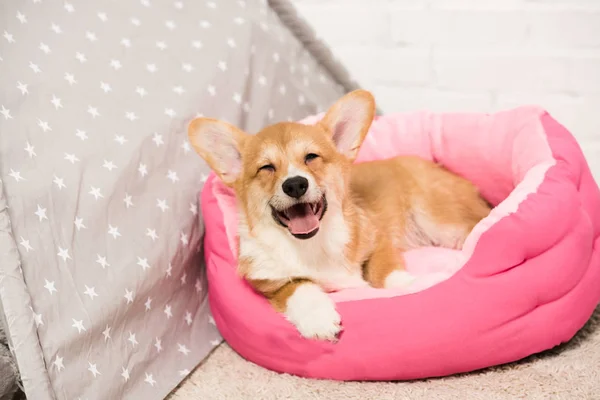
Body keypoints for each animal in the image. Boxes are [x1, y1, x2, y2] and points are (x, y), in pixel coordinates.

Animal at [189, 90, 492, 340]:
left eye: (311, 157)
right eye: (266, 168)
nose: (295, 184)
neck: (313, 244)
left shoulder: (380, 241)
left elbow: (384, 271)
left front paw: (406, 285)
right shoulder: (269, 283)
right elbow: (299, 287)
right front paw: (318, 319)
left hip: (440, 221)